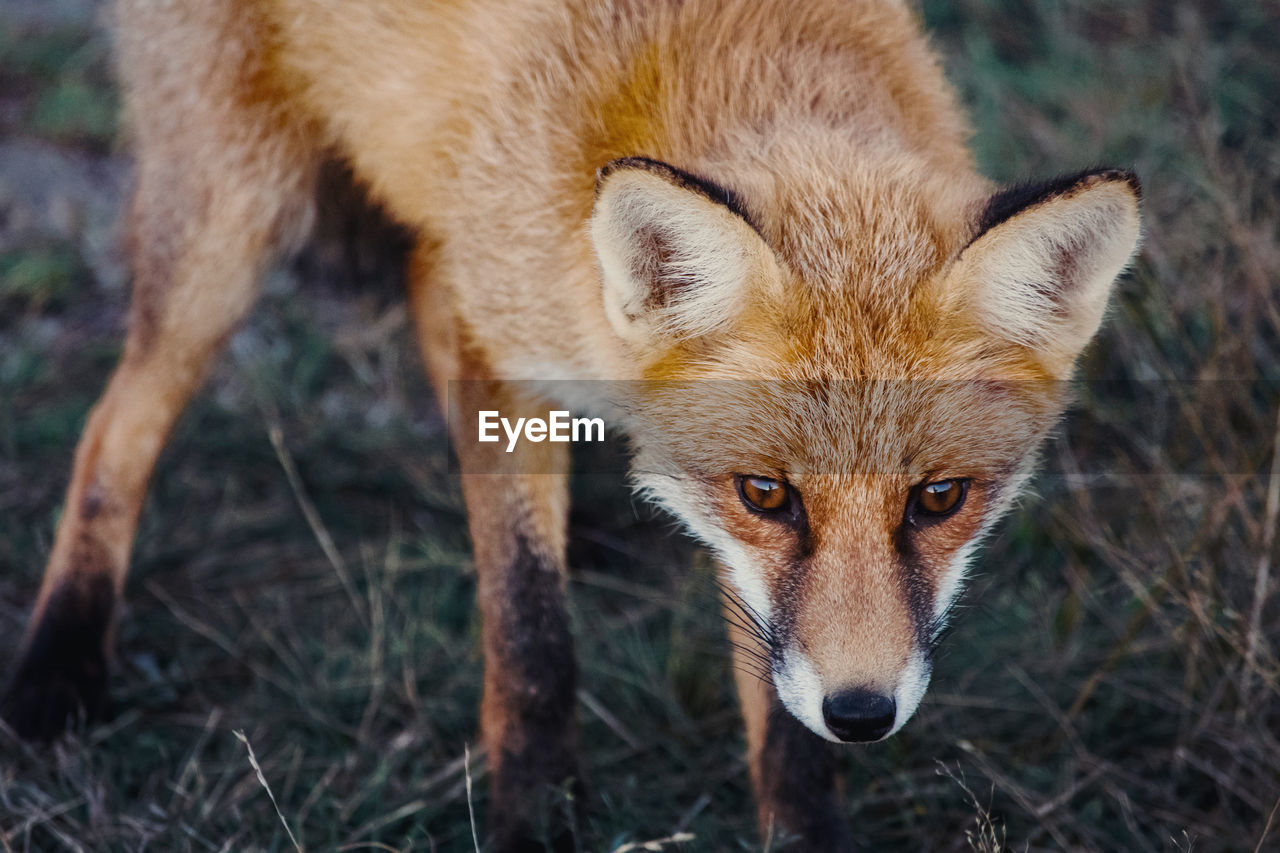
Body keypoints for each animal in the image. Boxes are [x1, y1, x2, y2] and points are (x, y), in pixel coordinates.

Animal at [0, 0, 1141, 845]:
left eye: (939, 498)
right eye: (767, 493)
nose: (861, 713)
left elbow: (773, 702)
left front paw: (803, 820)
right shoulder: (507, 355)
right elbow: (530, 632)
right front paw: (537, 815)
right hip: (232, 219)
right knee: (116, 423)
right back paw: (59, 660)